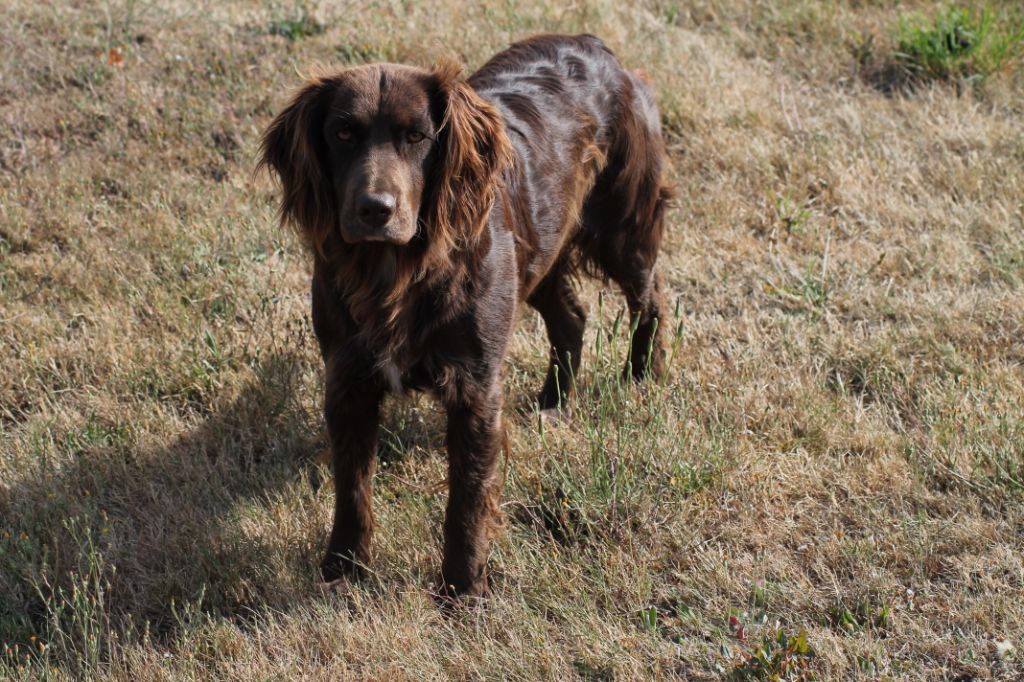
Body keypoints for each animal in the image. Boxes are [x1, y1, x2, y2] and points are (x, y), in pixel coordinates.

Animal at [260, 34, 667, 593]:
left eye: (417, 136)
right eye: (342, 132)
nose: (375, 209)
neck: (396, 272)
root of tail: (598, 45)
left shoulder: (474, 386)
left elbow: (466, 499)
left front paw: (461, 586)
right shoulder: (347, 378)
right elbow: (352, 487)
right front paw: (342, 570)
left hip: (624, 227)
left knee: (651, 297)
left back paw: (642, 375)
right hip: (538, 254)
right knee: (571, 317)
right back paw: (554, 404)